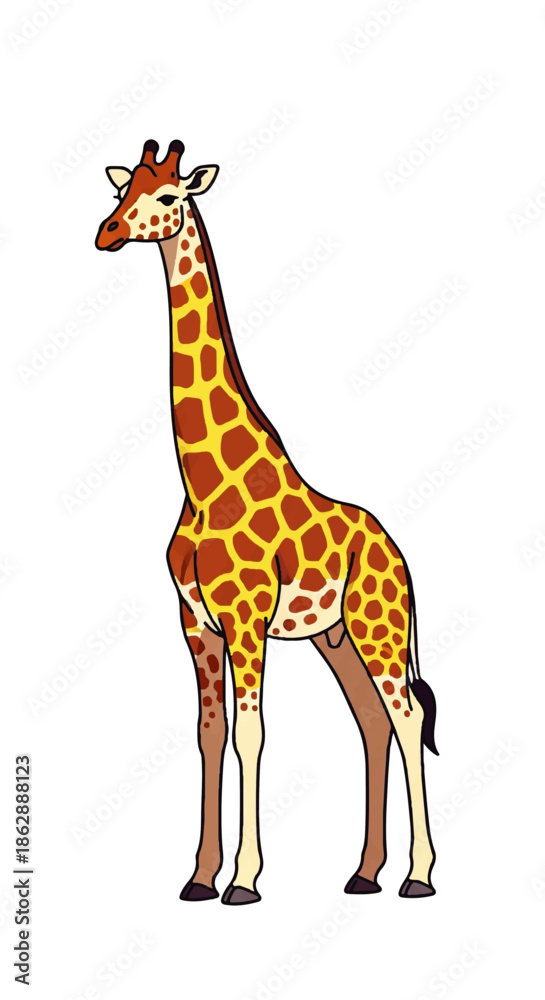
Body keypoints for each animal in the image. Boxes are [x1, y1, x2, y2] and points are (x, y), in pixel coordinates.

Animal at [95, 139, 439, 904]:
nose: (106, 233)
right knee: (372, 721)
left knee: (406, 716)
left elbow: (249, 734)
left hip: (377, 626)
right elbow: (208, 734)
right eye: (122, 190)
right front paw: (199, 877)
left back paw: (418, 875)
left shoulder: (245, 618)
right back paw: (363, 873)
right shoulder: (195, 621)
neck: (203, 482)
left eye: (169, 198)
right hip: (334, 636)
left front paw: (245, 880)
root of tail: (398, 554)